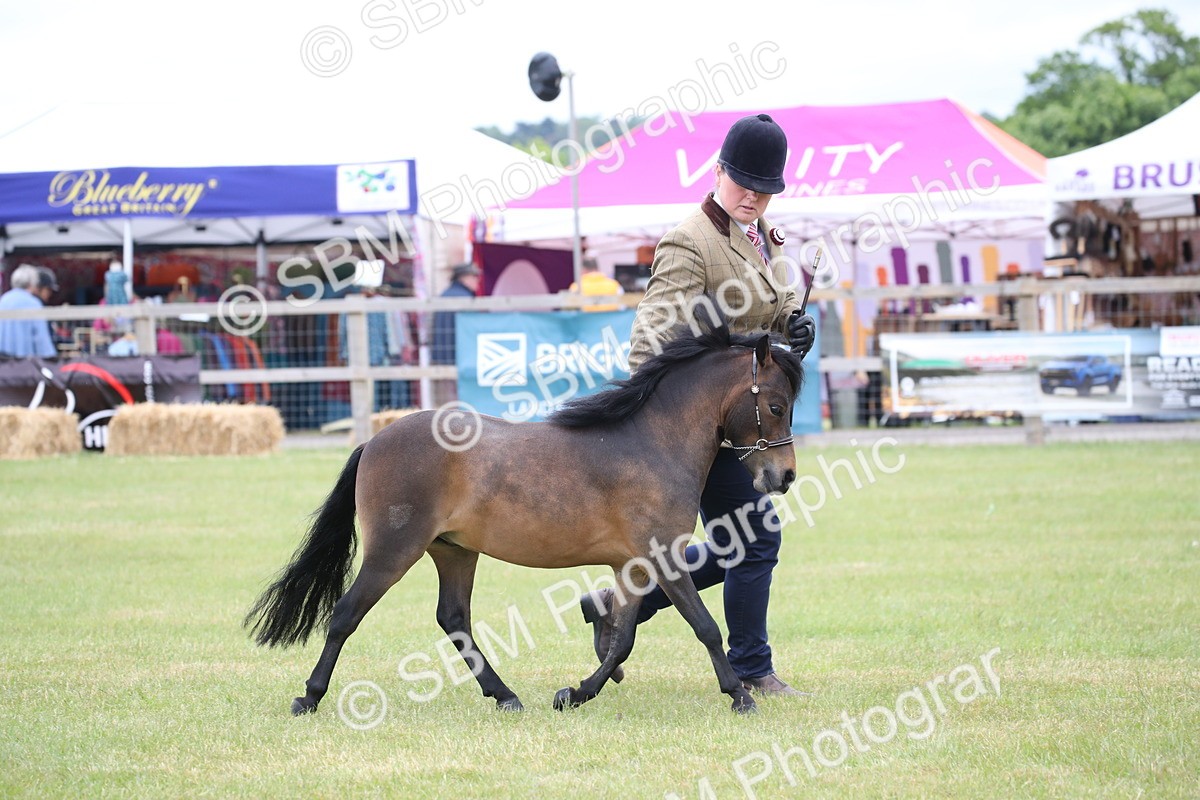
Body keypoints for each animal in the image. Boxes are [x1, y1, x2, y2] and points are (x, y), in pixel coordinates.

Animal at [244, 316, 804, 715]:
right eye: (776, 406)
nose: (784, 477)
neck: (651, 442)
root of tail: (375, 440)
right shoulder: (662, 558)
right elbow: (704, 626)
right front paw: (740, 696)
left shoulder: (633, 565)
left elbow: (622, 640)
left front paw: (575, 694)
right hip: (393, 551)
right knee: (346, 614)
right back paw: (309, 696)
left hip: (454, 552)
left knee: (453, 618)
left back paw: (505, 695)